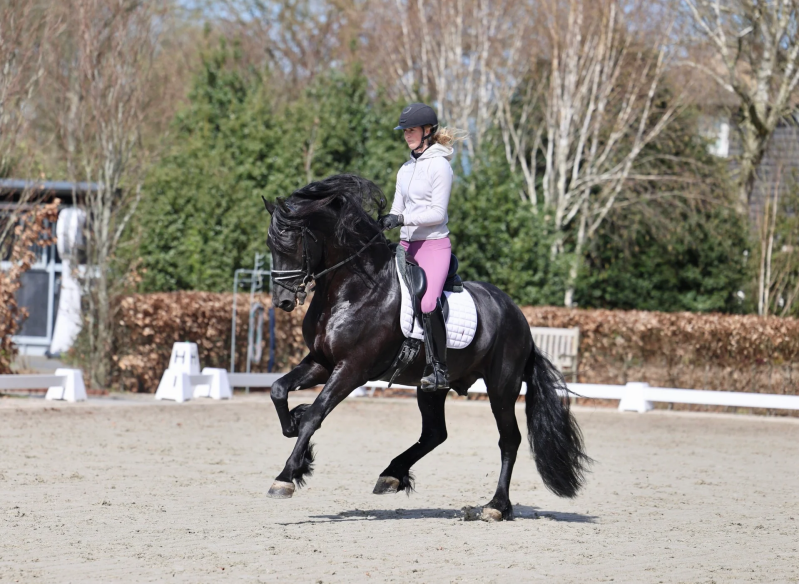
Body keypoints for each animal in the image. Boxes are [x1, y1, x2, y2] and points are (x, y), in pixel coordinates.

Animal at [262, 173, 589, 521]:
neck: (354, 288)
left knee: (508, 440)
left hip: (502, 386)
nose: (283, 301)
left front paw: (286, 476)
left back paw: (496, 506)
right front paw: (296, 430)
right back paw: (391, 475)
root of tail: (518, 315)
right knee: (435, 433)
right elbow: (278, 390)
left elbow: (316, 414)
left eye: (292, 244)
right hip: (431, 387)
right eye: (271, 246)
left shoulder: (352, 369)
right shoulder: (321, 362)